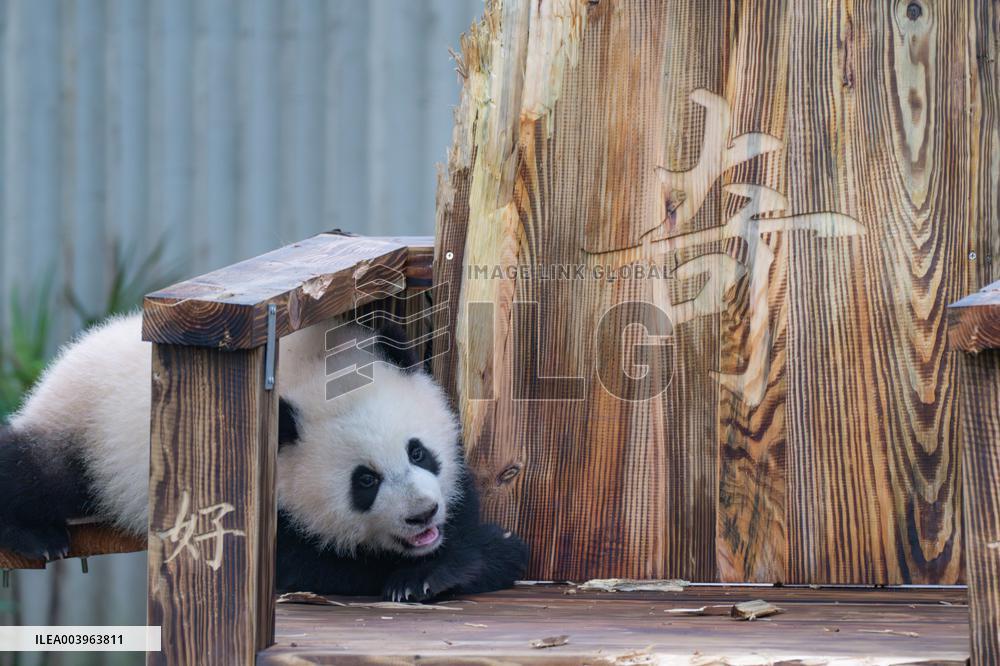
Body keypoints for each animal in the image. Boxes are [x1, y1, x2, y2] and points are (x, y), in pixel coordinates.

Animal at [0, 312, 527, 602]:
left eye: (418, 451)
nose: (422, 515)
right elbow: (306, 569)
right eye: (365, 481)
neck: (310, 368)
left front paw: (456, 562)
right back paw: (37, 536)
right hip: (86, 424)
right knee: (37, 470)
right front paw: (414, 577)